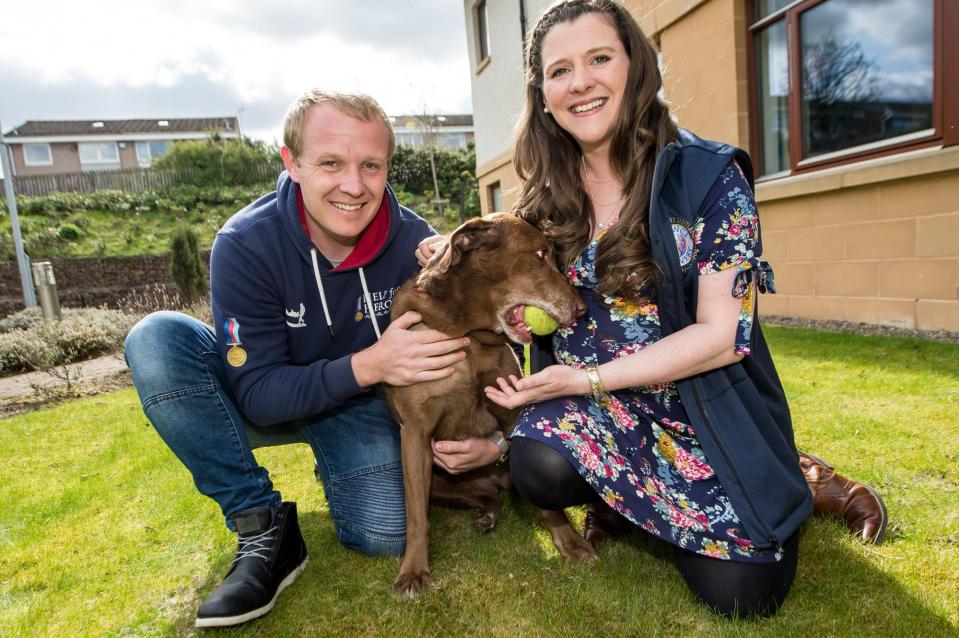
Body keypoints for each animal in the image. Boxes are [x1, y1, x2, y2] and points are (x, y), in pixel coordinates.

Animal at [384, 215, 596, 600]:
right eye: (540, 255)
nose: (582, 310)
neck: (467, 332)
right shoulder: (415, 436)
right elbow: (417, 517)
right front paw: (413, 572)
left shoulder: (511, 410)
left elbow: (547, 503)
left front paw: (568, 540)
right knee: (483, 497)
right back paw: (486, 514)